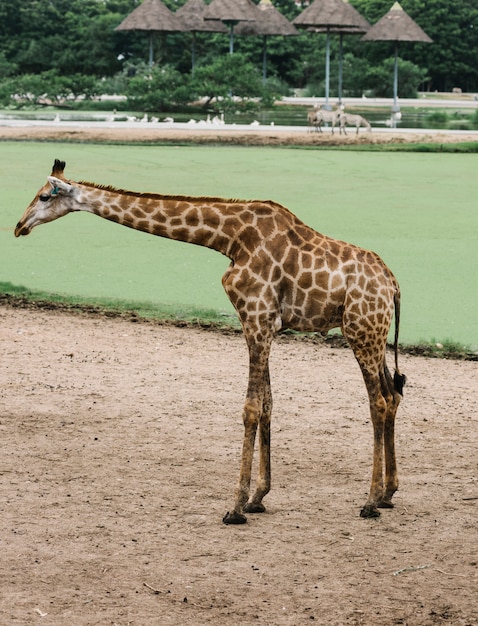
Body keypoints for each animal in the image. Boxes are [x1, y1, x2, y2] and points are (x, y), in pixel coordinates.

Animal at [14, 158, 406, 520]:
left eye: (44, 195)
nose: (19, 226)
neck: (229, 238)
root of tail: (393, 284)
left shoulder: (257, 317)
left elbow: (250, 408)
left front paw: (235, 507)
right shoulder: (259, 323)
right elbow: (267, 404)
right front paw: (257, 498)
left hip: (361, 330)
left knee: (378, 402)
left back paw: (370, 501)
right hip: (375, 333)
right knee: (393, 393)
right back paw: (388, 493)